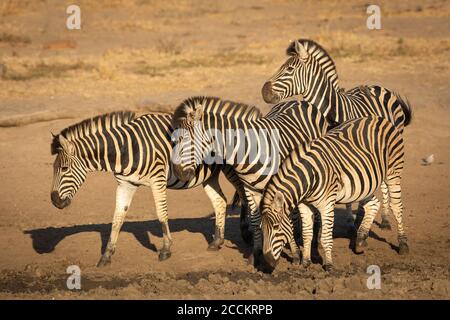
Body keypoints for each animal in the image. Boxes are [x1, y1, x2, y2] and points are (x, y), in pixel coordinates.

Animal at [51, 111, 248, 266]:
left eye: (64, 169)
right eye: (55, 169)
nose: (54, 201)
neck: (126, 149)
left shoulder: (157, 180)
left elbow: (161, 214)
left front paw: (166, 250)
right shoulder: (125, 184)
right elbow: (117, 219)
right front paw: (106, 256)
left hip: (234, 168)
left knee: (245, 196)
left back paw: (246, 233)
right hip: (210, 176)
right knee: (220, 201)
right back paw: (217, 242)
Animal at [171, 95, 334, 264]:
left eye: (184, 139)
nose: (177, 173)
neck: (248, 150)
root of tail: (298, 101)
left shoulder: (282, 187)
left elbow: (287, 221)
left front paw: (295, 254)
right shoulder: (250, 189)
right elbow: (256, 220)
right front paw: (255, 253)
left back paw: (312, 242)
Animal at [260, 38, 412, 230]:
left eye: (289, 69)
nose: (264, 92)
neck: (334, 111)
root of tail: (379, 87)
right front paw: (345, 221)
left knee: (385, 183)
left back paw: (384, 219)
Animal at [260, 116, 408, 272]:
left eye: (276, 227)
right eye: (262, 229)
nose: (268, 263)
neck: (309, 176)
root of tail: (377, 118)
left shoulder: (326, 205)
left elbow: (325, 238)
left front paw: (329, 265)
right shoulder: (304, 205)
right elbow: (307, 234)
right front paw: (306, 262)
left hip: (393, 172)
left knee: (397, 207)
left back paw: (403, 245)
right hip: (365, 184)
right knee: (373, 204)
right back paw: (360, 241)